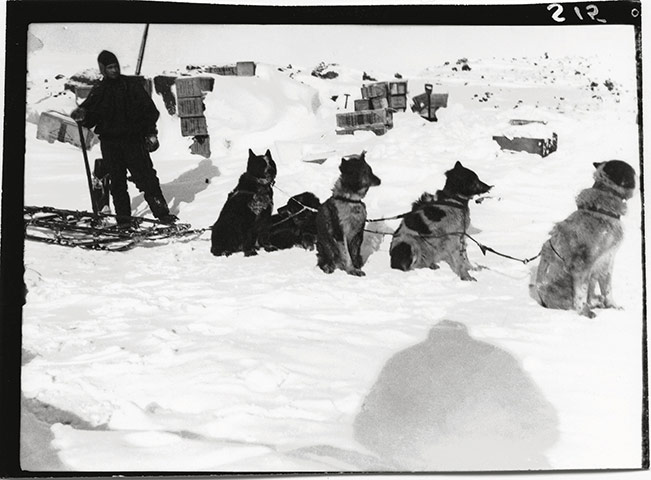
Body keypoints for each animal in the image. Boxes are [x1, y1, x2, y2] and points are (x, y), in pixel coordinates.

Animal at [528, 160, 636, 318]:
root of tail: (543, 301)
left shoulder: (607, 261)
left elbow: (607, 289)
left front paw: (612, 306)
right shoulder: (582, 265)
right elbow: (581, 294)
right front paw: (584, 313)